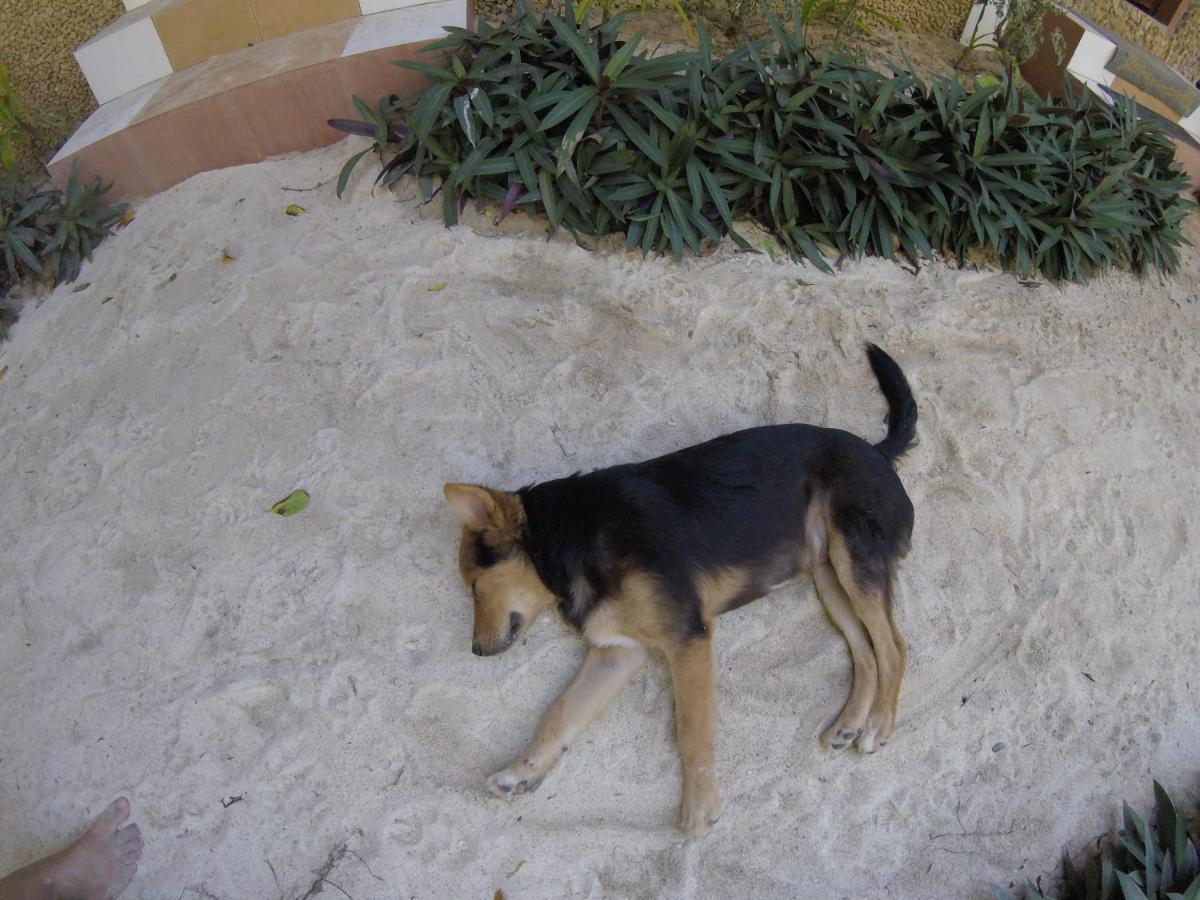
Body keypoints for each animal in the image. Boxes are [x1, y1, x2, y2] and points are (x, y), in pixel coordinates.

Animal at [446, 343, 912, 830]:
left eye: (474, 586)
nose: (475, 651)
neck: (571, 540)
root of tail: (878, 452)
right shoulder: (618, 650)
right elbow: (559, 714)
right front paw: (520, 772)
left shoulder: (688, 638)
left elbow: (692, 729)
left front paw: (700, 808)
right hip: (829, 576)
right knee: (865, 650)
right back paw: (849, 723)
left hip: (854, 560)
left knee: (893, 648)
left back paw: (877, 726)